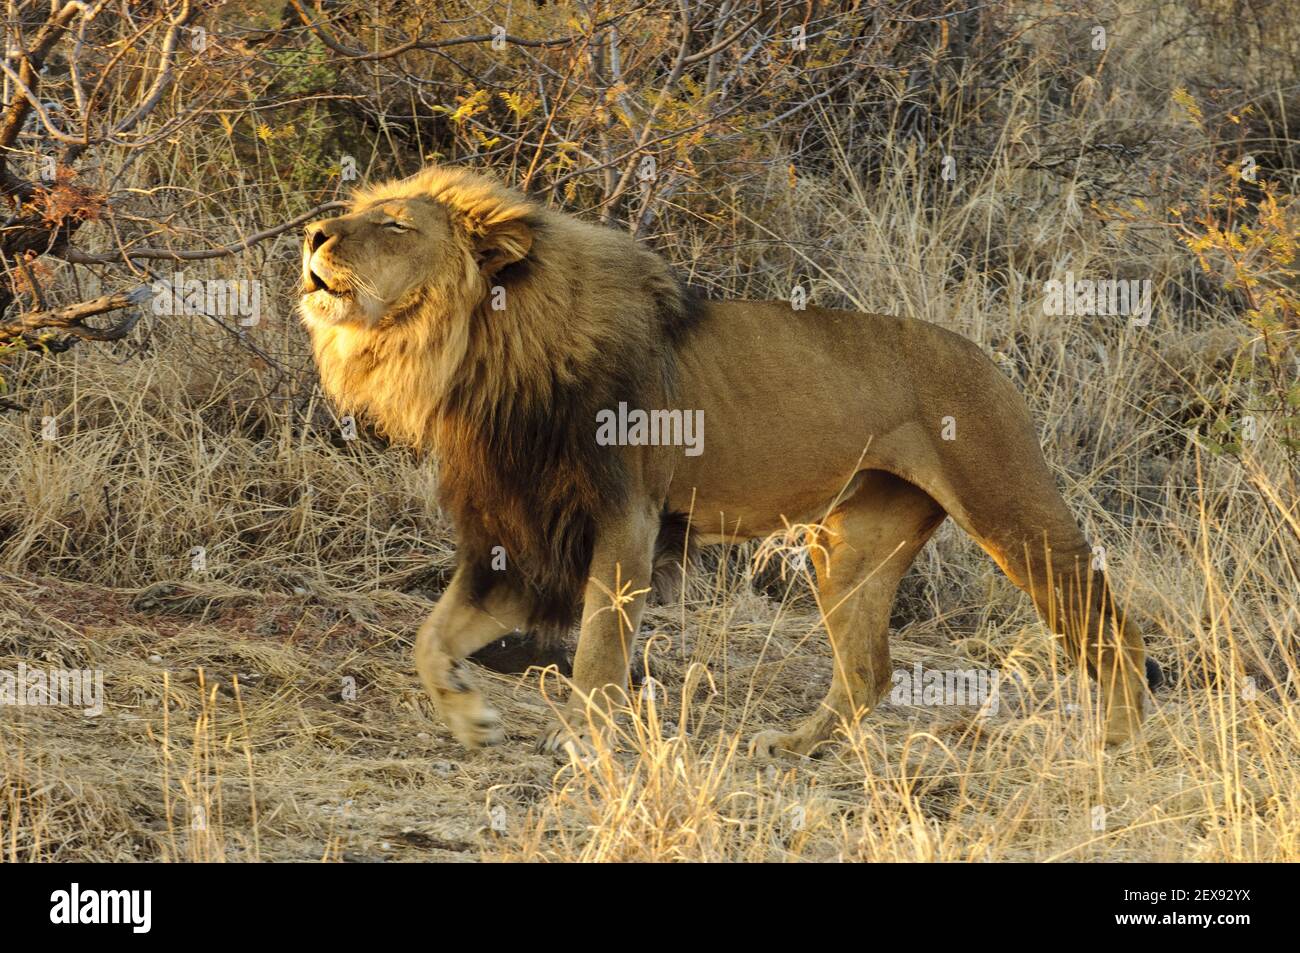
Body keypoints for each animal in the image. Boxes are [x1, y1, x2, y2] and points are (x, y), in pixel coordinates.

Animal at [297, 165, 1159, 759]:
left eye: (395, 225)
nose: (312, 233)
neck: (481, 352)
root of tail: (988, 357)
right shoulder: (519, 538)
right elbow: (429, 637)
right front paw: (471, 716)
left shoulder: (626, 518)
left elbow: (598, 653)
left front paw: (582, 740)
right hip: (849, 547)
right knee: (869, 671)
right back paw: (796, 745)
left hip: (1012, 510)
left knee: (1113, 629)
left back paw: (1118, 741)